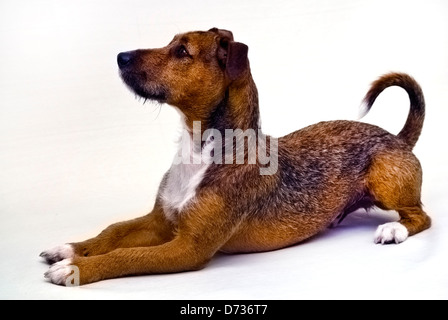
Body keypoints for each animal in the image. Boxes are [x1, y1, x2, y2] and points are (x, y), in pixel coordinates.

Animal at [41, 28, 430, 286]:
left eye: (182, 51)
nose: (120, 56)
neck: (200, 151)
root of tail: (397, 138)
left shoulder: (188, 248)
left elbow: (126, 255)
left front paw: (76, 268)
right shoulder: (159, 221)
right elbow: (113, 231)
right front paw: (70, 250)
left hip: (385, 180)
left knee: (421, 216)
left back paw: (394, 229)